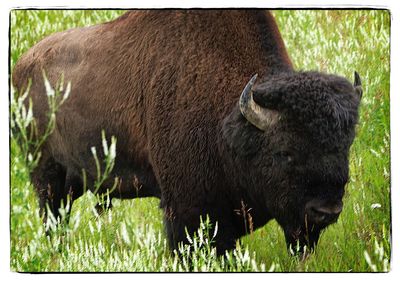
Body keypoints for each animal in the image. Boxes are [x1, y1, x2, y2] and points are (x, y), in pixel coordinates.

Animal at [12, 10, 362, 255]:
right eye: (285, 152)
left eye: (344, 147)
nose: (326, 211)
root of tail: (21, 66)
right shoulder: (187, 211)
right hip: (47, 177)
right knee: (53, 217)